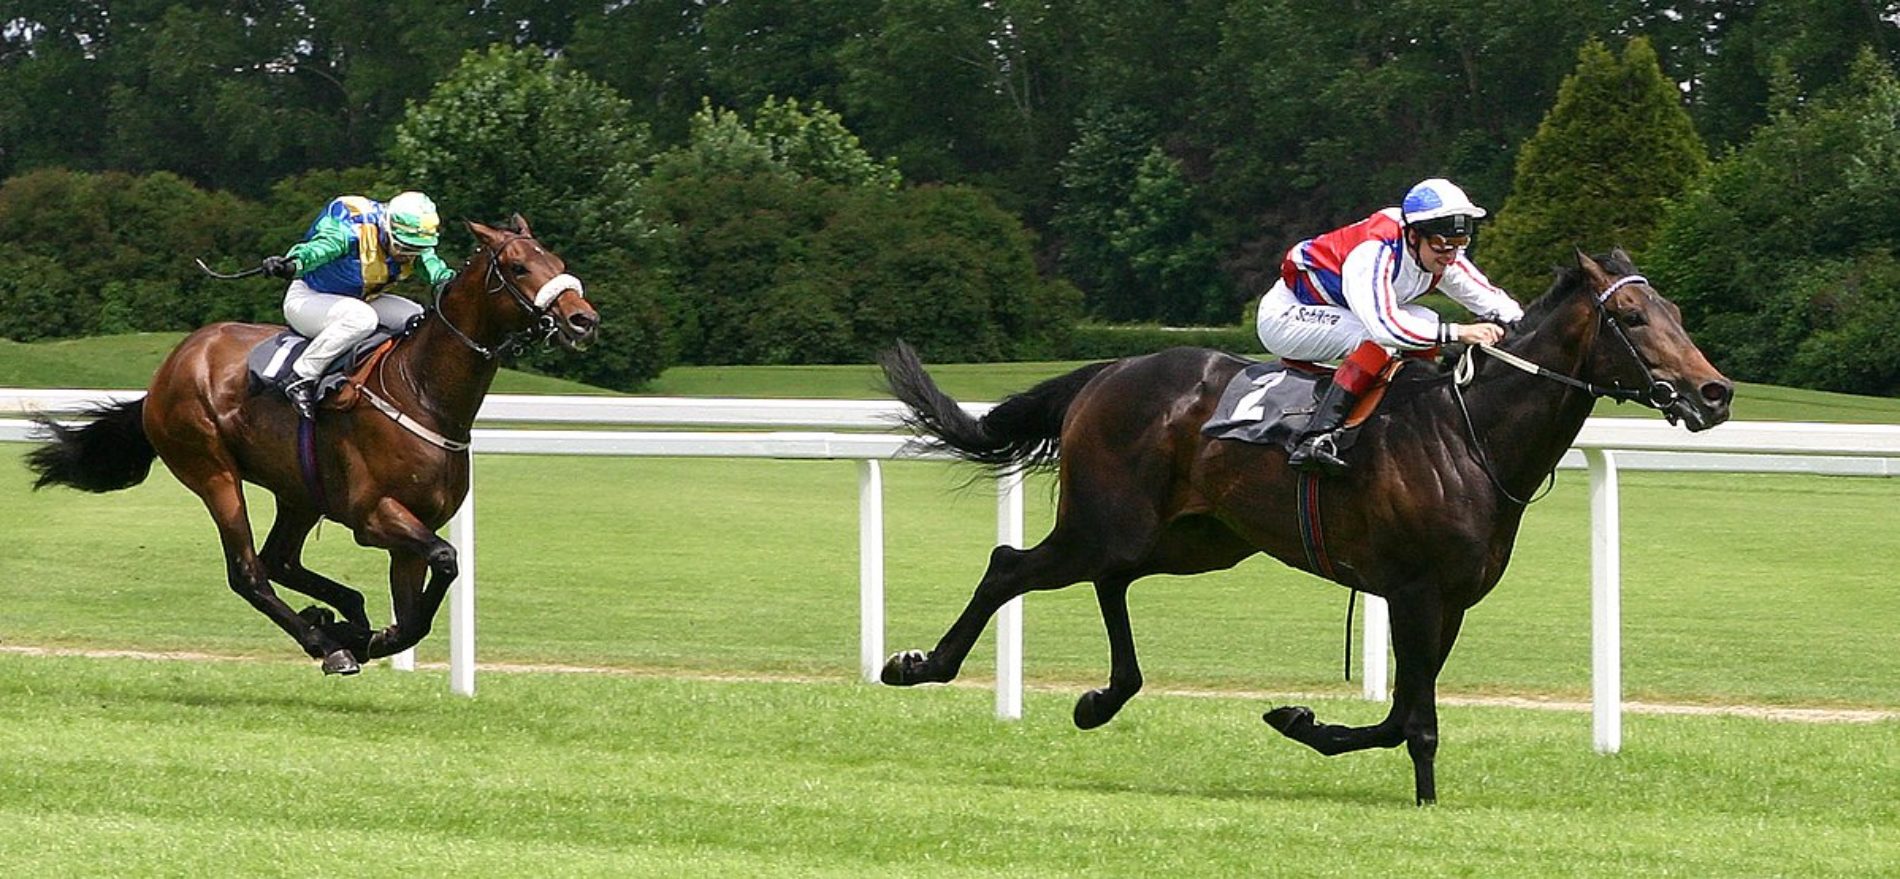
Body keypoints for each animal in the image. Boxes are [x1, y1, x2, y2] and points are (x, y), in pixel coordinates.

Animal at [26, 216, 596, 679]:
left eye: (558, 263)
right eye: (520, 267)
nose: (582, 319)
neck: (422, 391)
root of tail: (165, 373)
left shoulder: (411, 529)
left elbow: (419, 609)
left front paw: (369, 634)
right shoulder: (375, 516)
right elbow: (446, 558)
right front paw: (360, 639)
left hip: (298, 491)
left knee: (279, 560)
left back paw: (339, 619)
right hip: (212, 472)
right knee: (250, 572)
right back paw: (327, 640)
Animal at [877, 246, 1740, 804]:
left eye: (1674, 309)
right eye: (1630, 315)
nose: (1715, 392)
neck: (1470, 433)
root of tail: (1109, 370)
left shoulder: (1449, 600)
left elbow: (1396, 716)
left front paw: (1301, 720)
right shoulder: (1415, 590)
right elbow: (1415, 721)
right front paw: (1425, 802)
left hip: (1191, 538)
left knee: (1109, 579)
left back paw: (1103, 697)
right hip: (1107, 520)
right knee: (1009, 563)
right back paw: (920, 665)